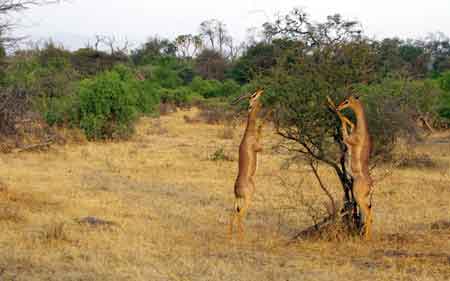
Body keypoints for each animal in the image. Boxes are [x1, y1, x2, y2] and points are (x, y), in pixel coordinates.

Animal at [330, 95, 372, 240]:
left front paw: (330, 104)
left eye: (347, 101)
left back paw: (365, 238)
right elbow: (350, 122)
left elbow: (342, 122)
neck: (361, 131)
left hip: (358, 196)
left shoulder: (347, 140)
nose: (339, 105)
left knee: (367, 213)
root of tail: (371, 185)